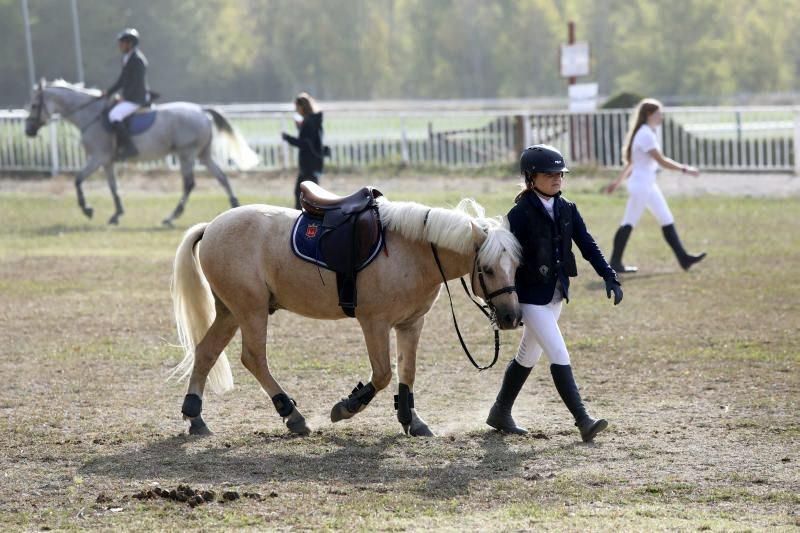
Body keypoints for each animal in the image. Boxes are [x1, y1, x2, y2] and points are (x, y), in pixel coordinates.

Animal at [25, 79, 258, 224]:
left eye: (35, 105)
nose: (28, 130)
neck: (90, 115)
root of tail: (200, 110)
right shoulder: (107, 161)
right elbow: (113, 187)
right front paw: (117, 214)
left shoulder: (98, 157)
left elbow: (78, 179)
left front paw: (87, 209)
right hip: (203, 155)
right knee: (221, 177)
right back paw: (235, 207)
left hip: (186, 154)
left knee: (189, 184)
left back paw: (171, 217)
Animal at [171, 193, 520, 434]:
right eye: (487, 269)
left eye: (516, 264)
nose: (511, 318)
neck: (411, 251)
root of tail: (212, 226)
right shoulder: (374, 324)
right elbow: (383, 374)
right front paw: (346, 407)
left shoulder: (410, 324)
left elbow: (406, 373)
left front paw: (412, 421)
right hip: (251, 310)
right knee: (253, 358)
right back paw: (292, 415)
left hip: (231, 312)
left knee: (206, 352)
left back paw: (195, 416)